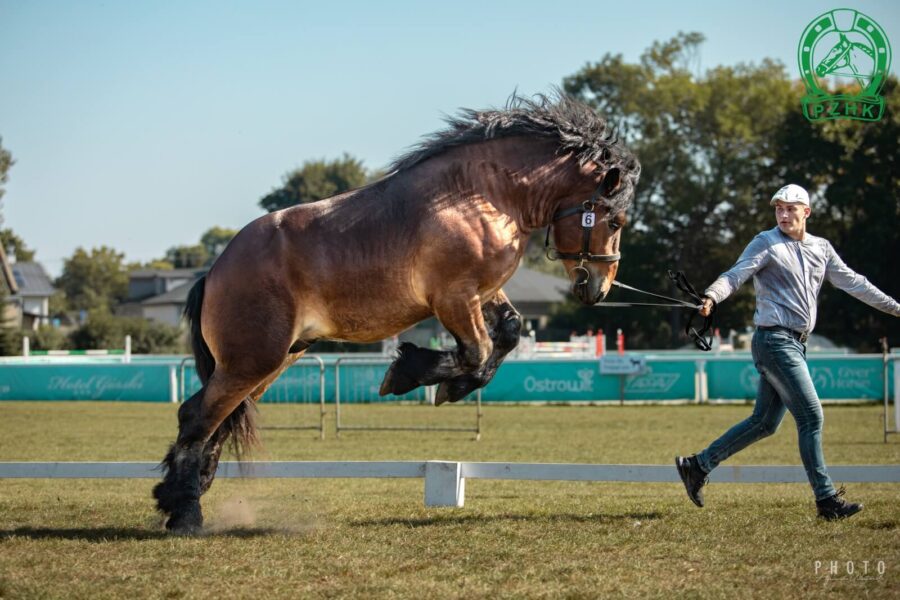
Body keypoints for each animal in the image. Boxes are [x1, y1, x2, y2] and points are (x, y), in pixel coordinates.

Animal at [158, 91, 644, 532]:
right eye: (615, 221)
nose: (599, 287)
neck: (480, 195)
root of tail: (216, 271)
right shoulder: (453, 297)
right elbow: (477, 352)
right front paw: (410, 372)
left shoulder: (482, 292)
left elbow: (506, 334)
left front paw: (442, 381)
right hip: (254, 361)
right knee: (199, 418)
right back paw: (185, 514)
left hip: (271, 362)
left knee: (213, 419)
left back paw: (179, 494)